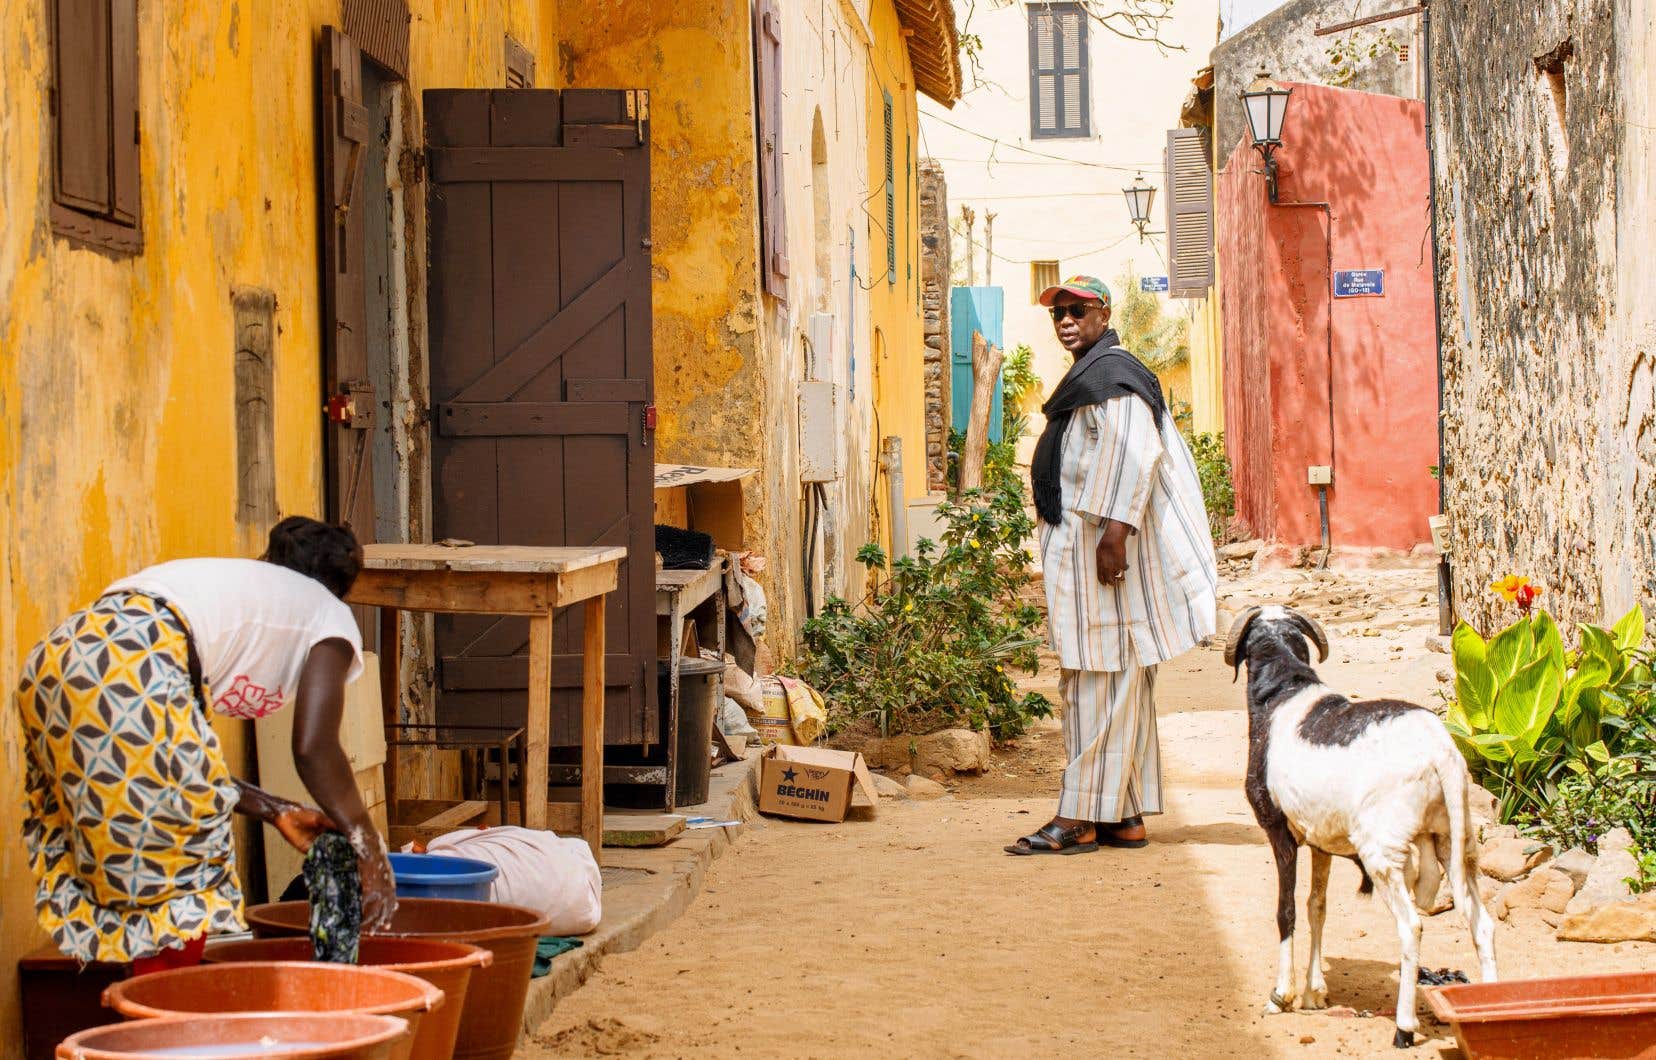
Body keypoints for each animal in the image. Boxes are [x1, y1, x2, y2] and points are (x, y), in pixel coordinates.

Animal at [1225, 602, 1497, 1046]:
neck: (1285, 690)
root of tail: (1439, 750)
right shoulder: (1320, 840)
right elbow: (1316, 907)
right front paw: (1315, 992)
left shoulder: (1279, 831)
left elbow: (1286, 910)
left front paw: (1283, 994)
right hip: (1456, 842)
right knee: (1482, 925)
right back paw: (1485, 1007)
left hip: (1381, 854)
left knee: (1411, 926)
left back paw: (1404, 1027)